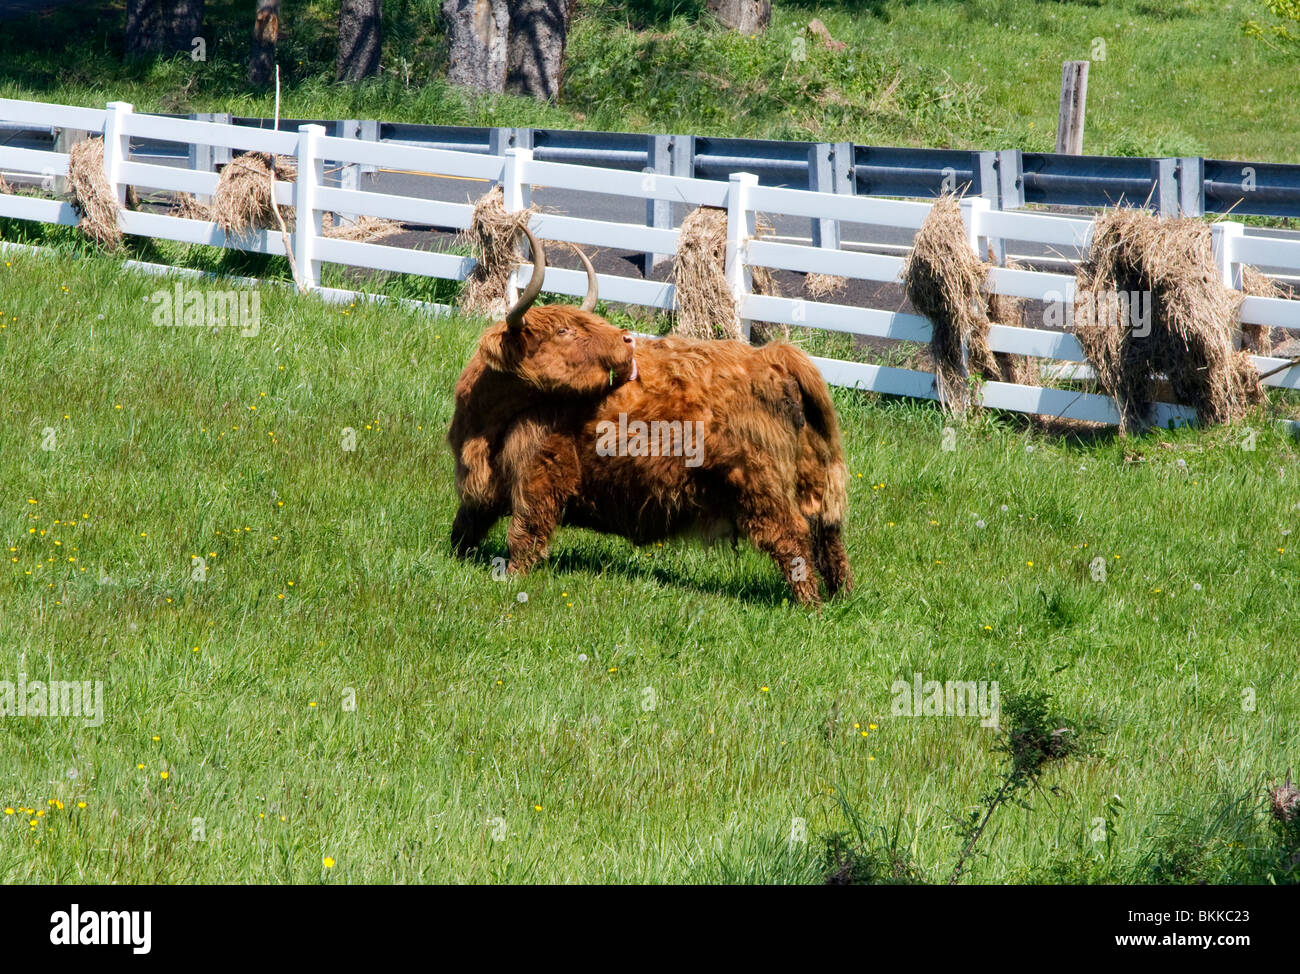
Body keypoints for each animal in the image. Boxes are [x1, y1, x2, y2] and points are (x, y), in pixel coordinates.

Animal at [448, 228, 851, 605]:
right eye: (563, 330)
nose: (626, 339)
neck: (486, 422)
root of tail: (772, 357)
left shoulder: (539, 475)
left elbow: (524, 533)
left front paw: (510, 578)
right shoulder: (482, 486)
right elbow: (466, 524)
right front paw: (456, 559)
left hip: (761, 485)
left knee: (792, 537)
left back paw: (810, 605)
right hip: (814, 476)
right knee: (828, 534)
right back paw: (841, 597)